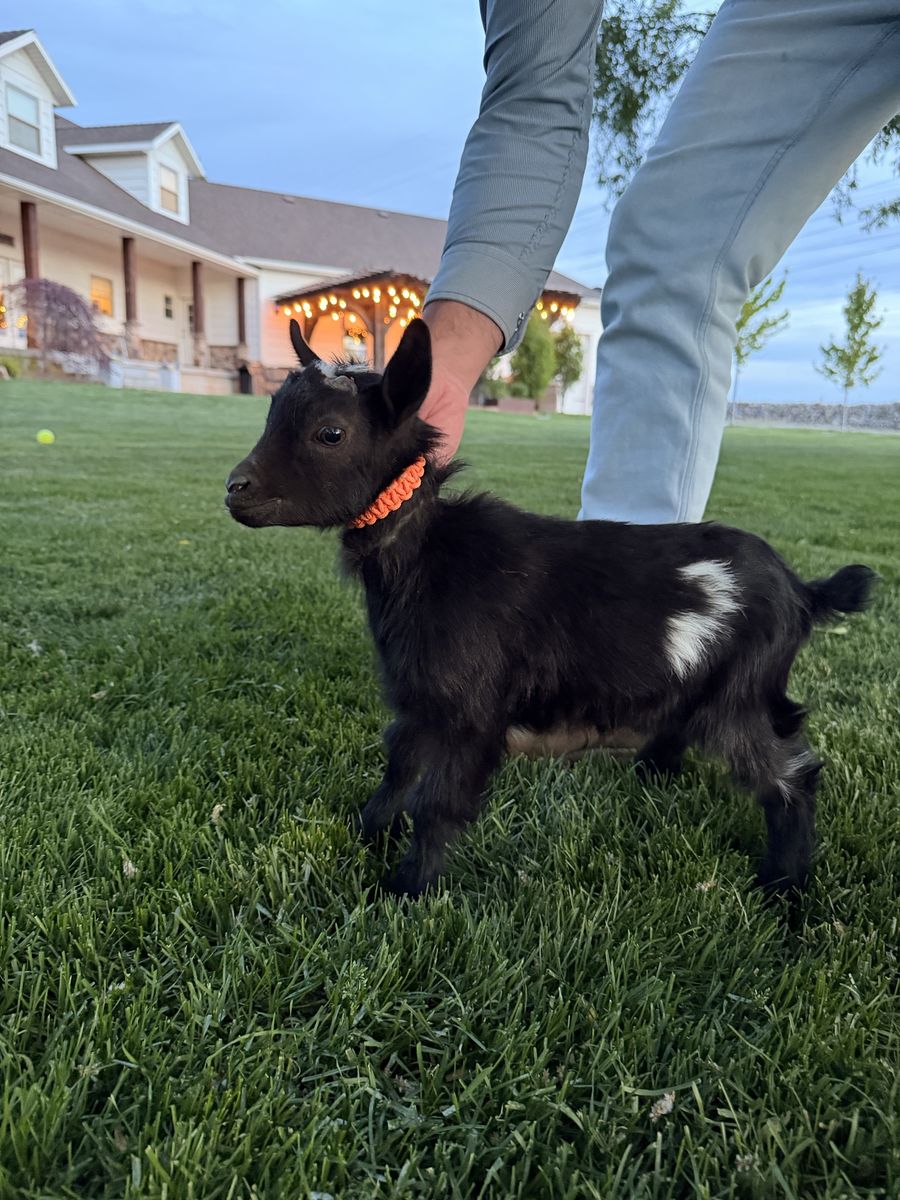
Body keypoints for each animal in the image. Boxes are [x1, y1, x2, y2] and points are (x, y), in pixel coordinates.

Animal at [226, 318, 875, 899]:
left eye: (330, 434)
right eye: (271, 414)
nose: (235, 489)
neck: (427, 553)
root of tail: (802, 590)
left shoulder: (473, 709)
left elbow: (438, 801)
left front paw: (406, 891)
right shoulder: (422, 697)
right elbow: (398, 768)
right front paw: (366, 834)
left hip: (739, 696)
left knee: (792, 777)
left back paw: (783, 888)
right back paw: (652, 780)